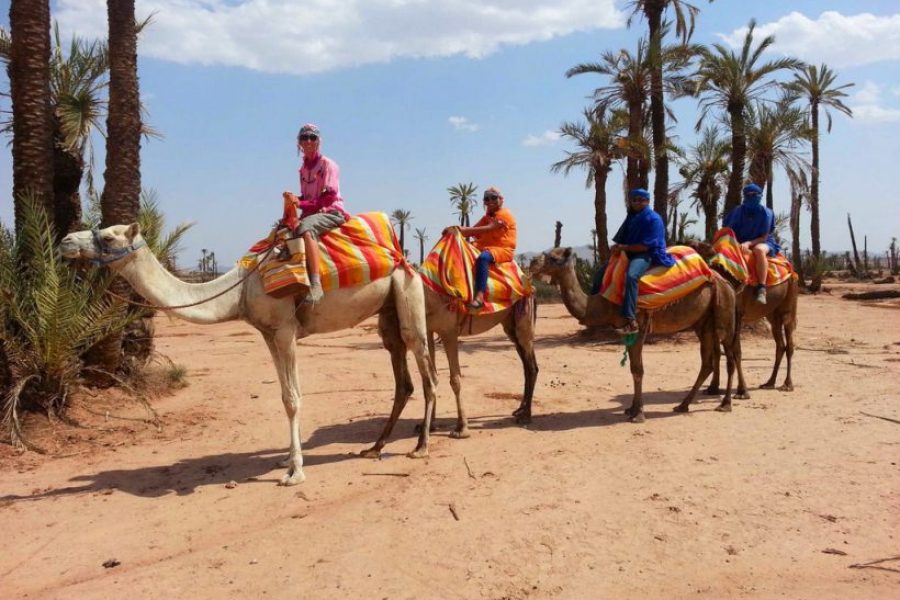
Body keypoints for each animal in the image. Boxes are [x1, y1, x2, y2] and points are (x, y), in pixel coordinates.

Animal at [60, 223, 440, 486]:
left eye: (110, 237)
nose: (65, 242)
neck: (239, 290)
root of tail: (404, 259)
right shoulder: (268, 334)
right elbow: (284, 396)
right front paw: (287, 460)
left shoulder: (285, 330)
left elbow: (293, 399)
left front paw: (295, 472)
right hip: (387, 312)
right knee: (403, 379)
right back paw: (374, 447)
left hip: (408, 295)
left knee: (428, 374)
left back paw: (421, 446)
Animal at [528, 247, 739, 422]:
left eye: (554, 257)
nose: (532, 262)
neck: (605, 303)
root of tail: (726, 283)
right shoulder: (627, 331)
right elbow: (633, 368)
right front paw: (631, 409)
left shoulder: (639, 326)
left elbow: (638, 370)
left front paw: (638, 414)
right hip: (703, 323)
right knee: (707, 363)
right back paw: (683, 405)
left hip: (725, 314)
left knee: (730, 356)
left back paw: (726, 404)